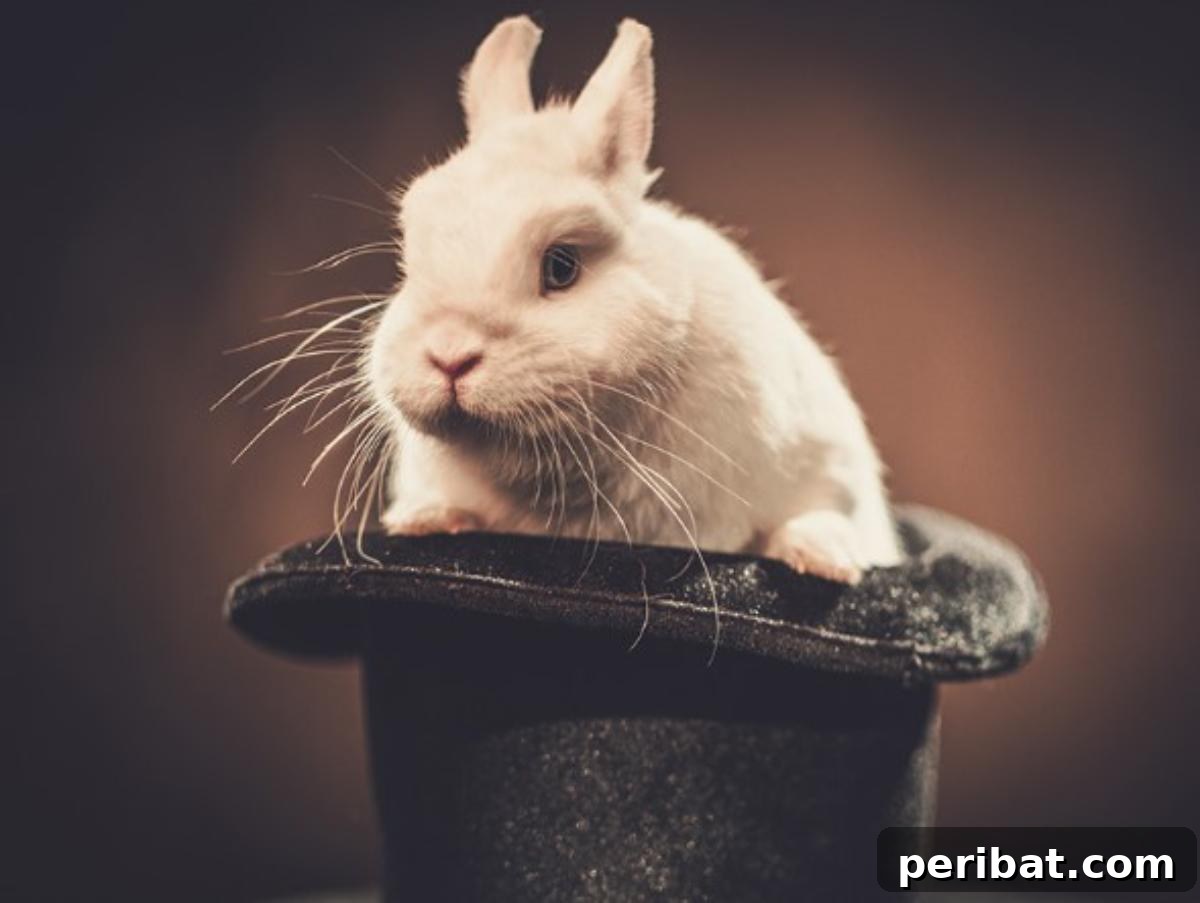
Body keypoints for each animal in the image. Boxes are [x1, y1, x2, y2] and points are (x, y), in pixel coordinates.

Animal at [367, 16, 902, 584]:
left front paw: (824, 560)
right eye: (410, 258)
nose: (448, 356)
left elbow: (819, 509)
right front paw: (425, 517)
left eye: (561, 266)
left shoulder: (825, 458)